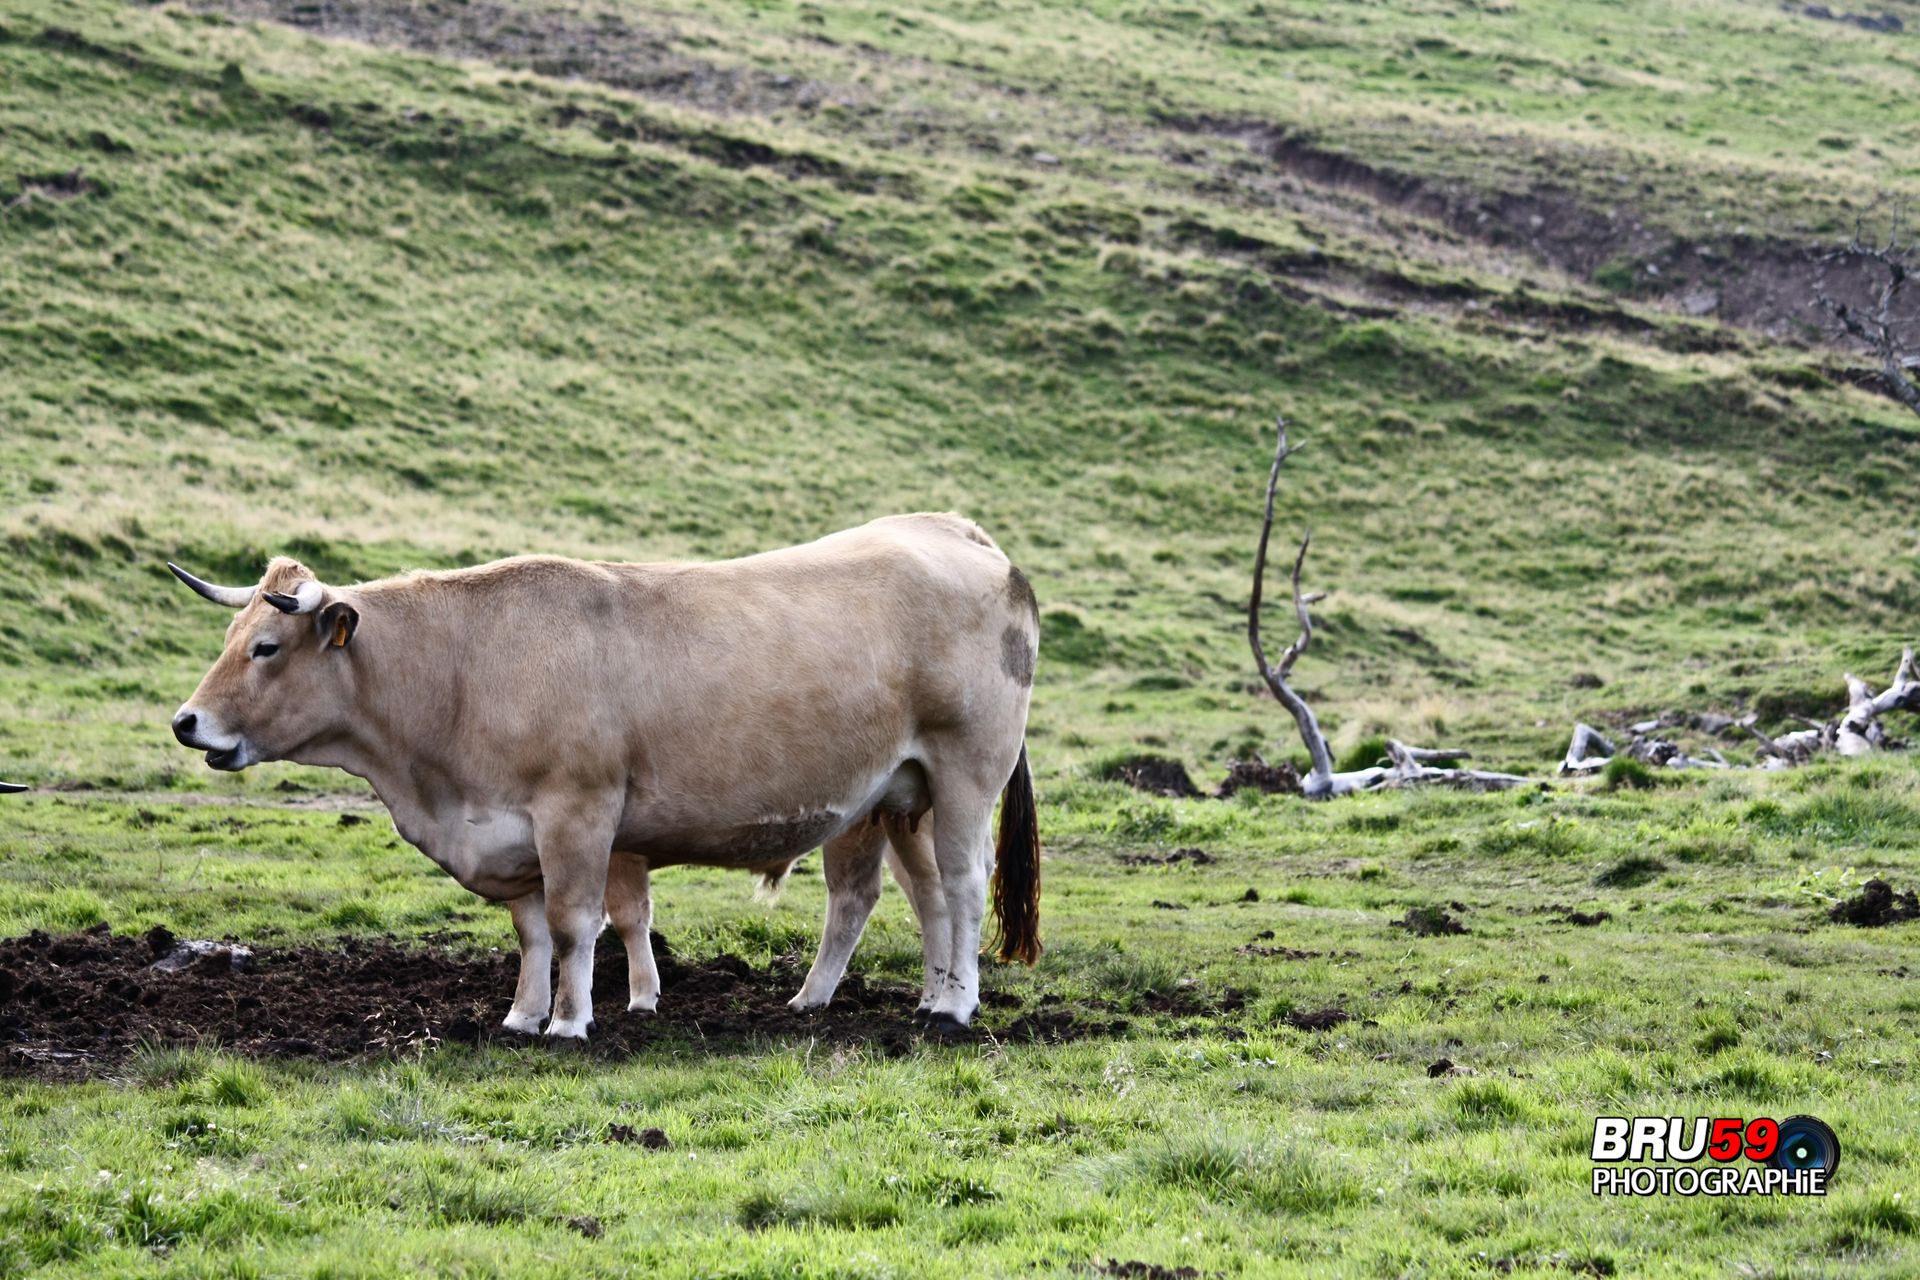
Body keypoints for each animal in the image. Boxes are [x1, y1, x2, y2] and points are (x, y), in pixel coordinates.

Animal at [167, 514, 1044, 1036]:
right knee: (912, 898)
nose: (186, 721)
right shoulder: (511, 832)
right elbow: (530, 932)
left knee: (962, 885)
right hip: (898, 797)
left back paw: (956, 1005)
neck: (463, 671)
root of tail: (959, 531)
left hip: (965, 773)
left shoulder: (578, 813)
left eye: (265, 649)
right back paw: (888, 996)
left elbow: (572, 923)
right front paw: (522, 1017)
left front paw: (569, 1022)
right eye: (230, 639)